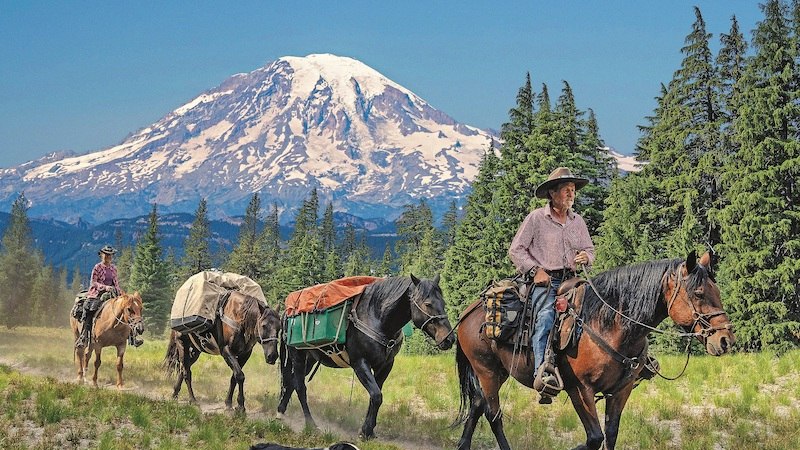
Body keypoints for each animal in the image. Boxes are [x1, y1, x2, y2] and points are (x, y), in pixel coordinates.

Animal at [454, 251, 736, 448]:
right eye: (698, 293)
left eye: (717, 291)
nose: (725, 340)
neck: (609, 325)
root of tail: (469, 312)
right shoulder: (580, 389)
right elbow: (594, 438)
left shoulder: (620, 391)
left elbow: (610, 434)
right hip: (487, 370)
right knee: (493, 414)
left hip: (499, 372)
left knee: (477, 405)